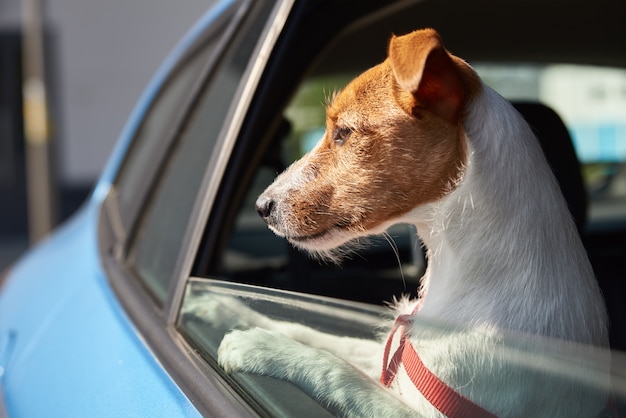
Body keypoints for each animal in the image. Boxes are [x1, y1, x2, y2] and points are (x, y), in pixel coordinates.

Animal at [212, 27, 608, 416]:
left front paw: (259, 347)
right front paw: (230, 310)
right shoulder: (385, 357)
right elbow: (321, 335)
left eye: (344, 133)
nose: (261, 206)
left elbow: (335, 369)